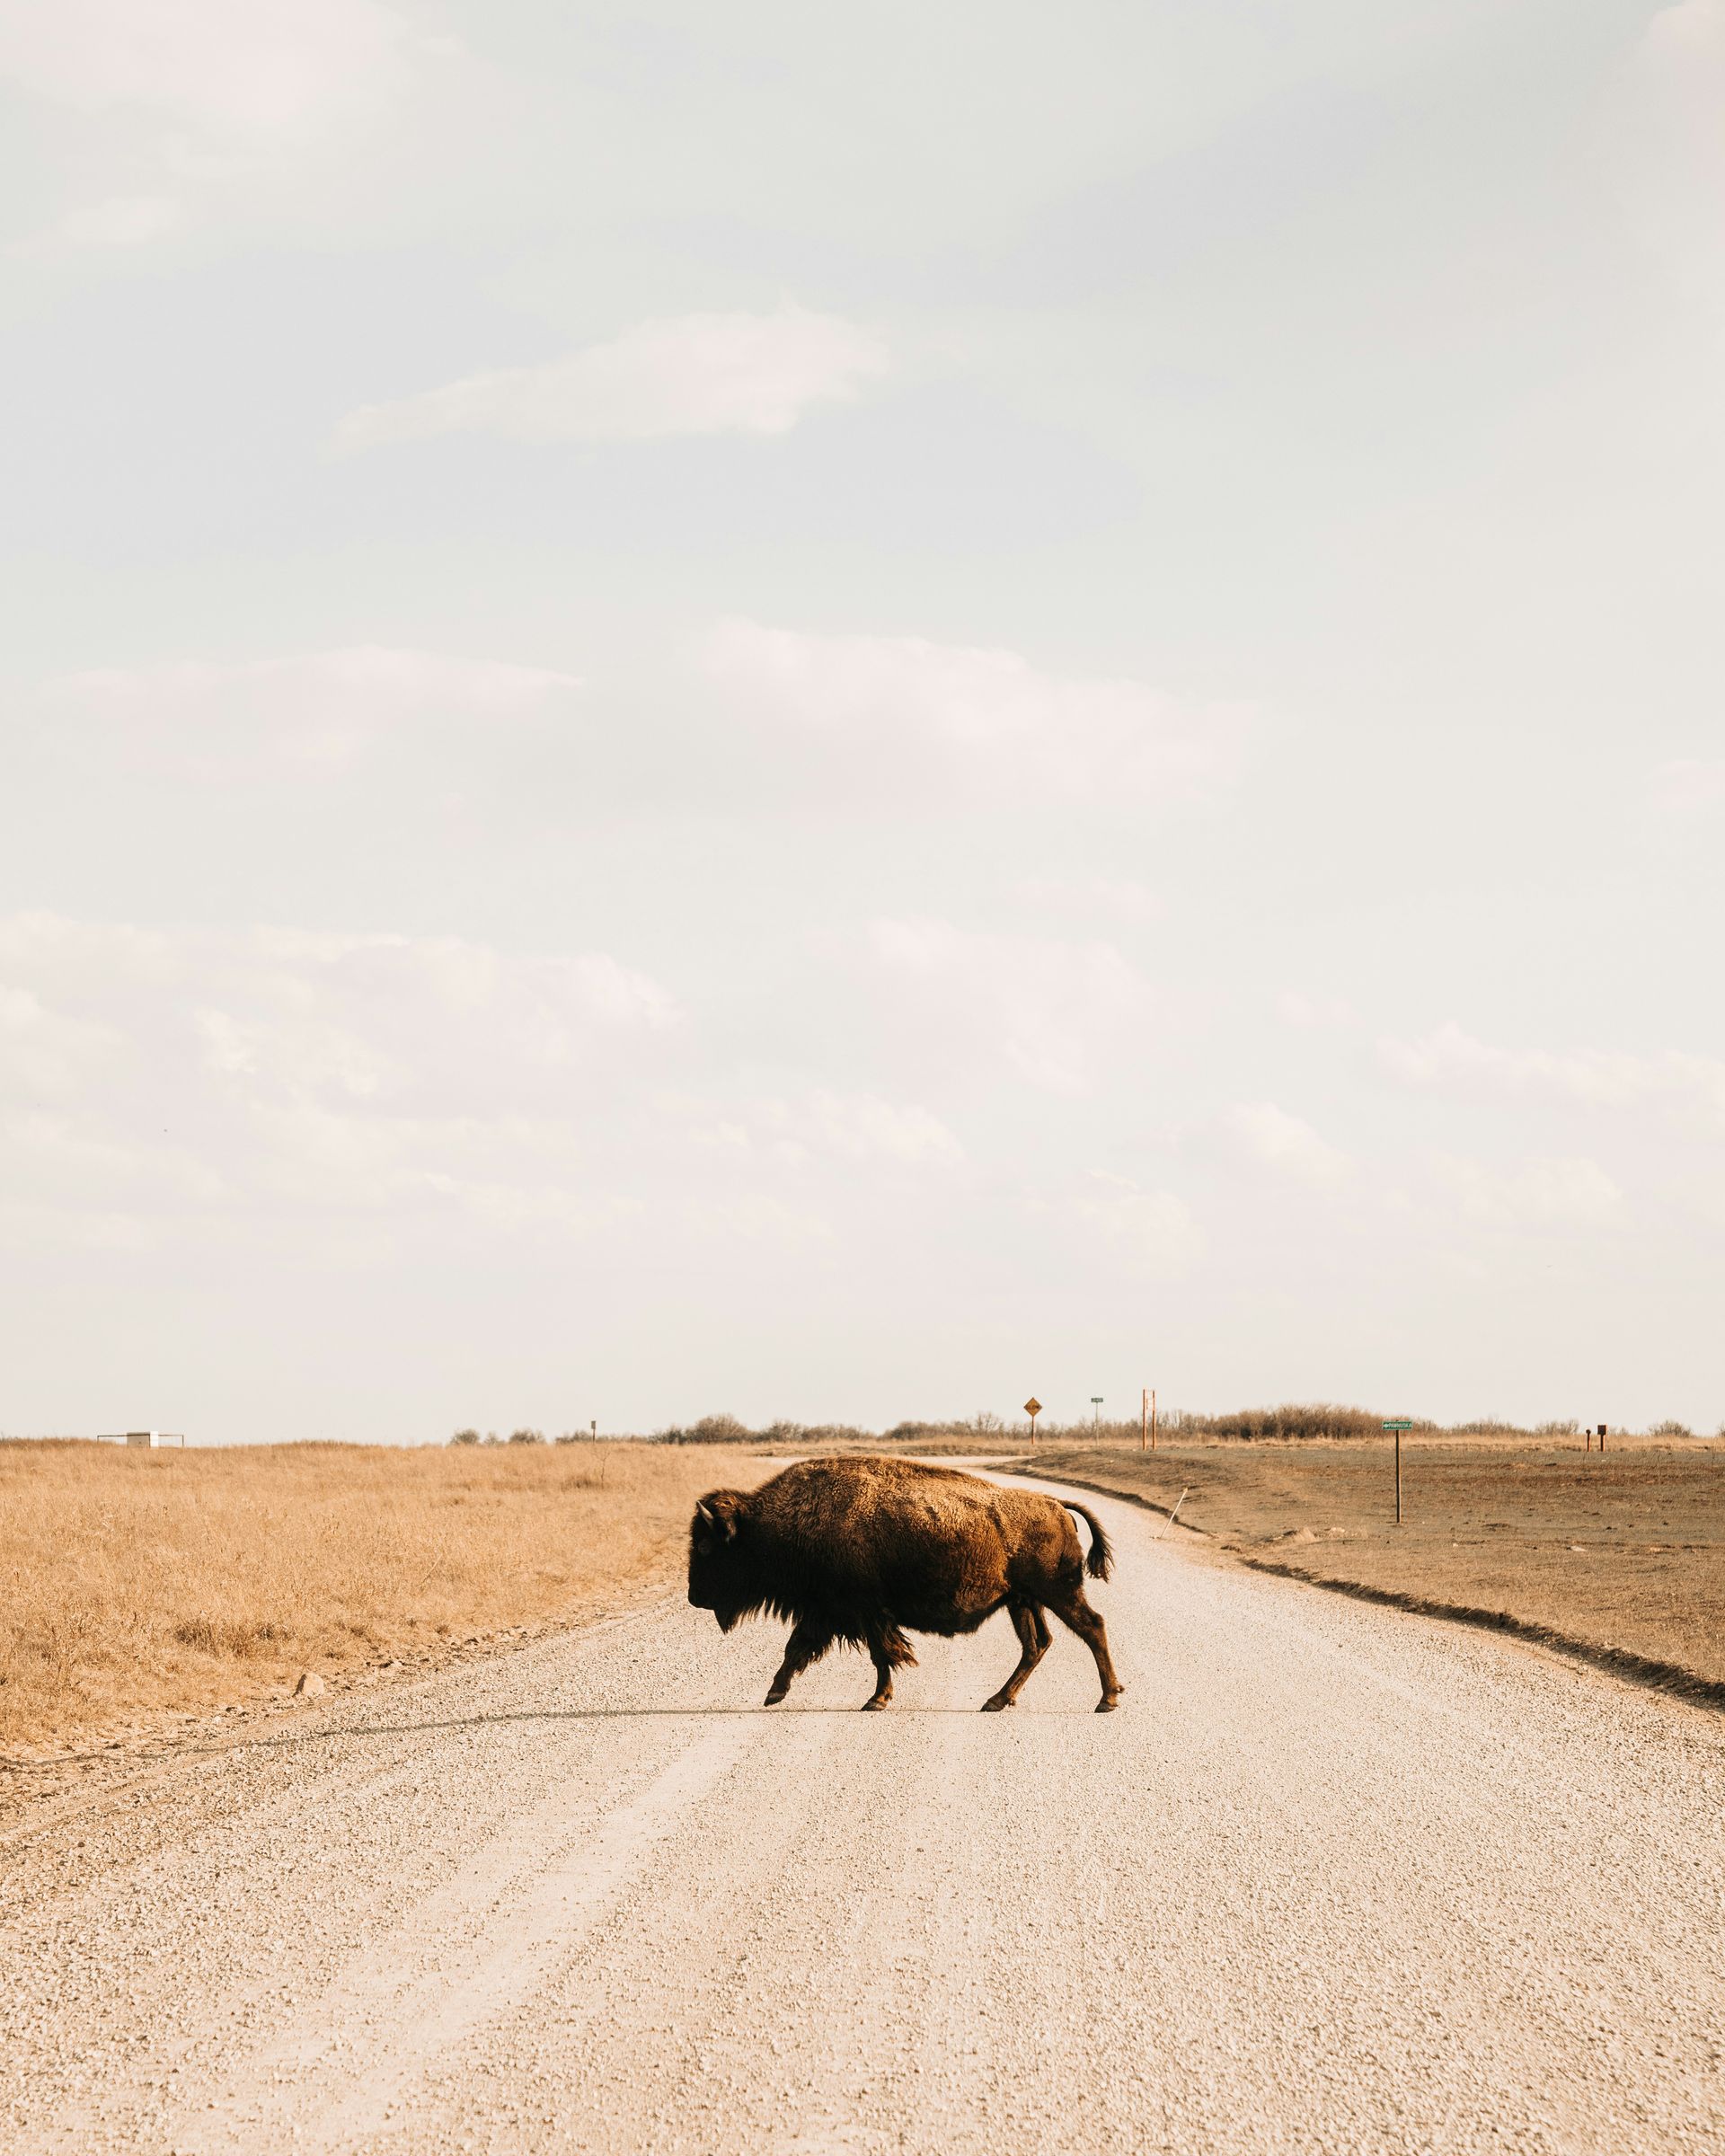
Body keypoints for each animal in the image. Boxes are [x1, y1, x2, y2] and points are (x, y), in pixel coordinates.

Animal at [681, 1457, 1121, 1707]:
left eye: (705, 1546)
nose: (694, 1597)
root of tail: (1055, 1504)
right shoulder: (829, 1613)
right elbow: (798, 1649)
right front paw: (774, 1694)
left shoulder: (861, 1612)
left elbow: (879, 1655)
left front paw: (876, 1701)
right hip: (1023, 1601)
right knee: (1036, 1646)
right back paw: (997, 1701)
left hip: (1057, 1592)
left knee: (1092, 1627)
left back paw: (1107, 1700)